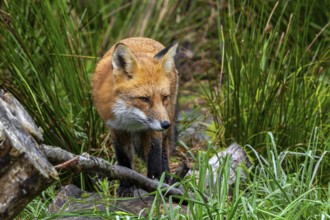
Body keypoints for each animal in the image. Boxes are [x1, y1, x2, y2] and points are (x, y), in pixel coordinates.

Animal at [91, 37, 178, 196]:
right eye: (144, 99)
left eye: (164, 97)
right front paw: (126, 187)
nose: (165, 124)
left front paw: (155, 182)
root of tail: (142, 38)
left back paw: (167, 175)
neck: (132, 121)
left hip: (168, 118)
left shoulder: (153, 130)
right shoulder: (116, 128)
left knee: (164, 149)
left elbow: (154, 156)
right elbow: (124, 160)